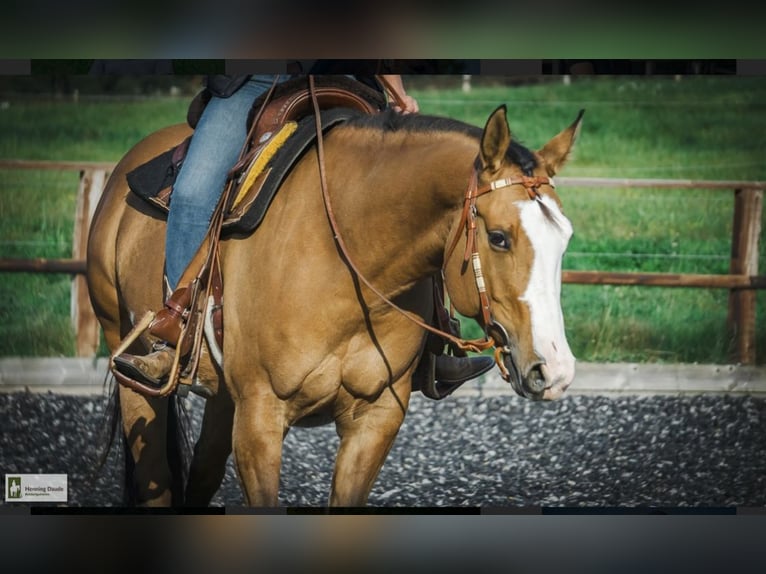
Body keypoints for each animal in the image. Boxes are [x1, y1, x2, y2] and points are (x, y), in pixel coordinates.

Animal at [87, 101, 583, 506]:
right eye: (499, 238)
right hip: (131, 362)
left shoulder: (375, 419)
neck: (344, 259)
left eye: (565, 238)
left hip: (223, 396)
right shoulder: (260, 419)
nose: (555, 370)